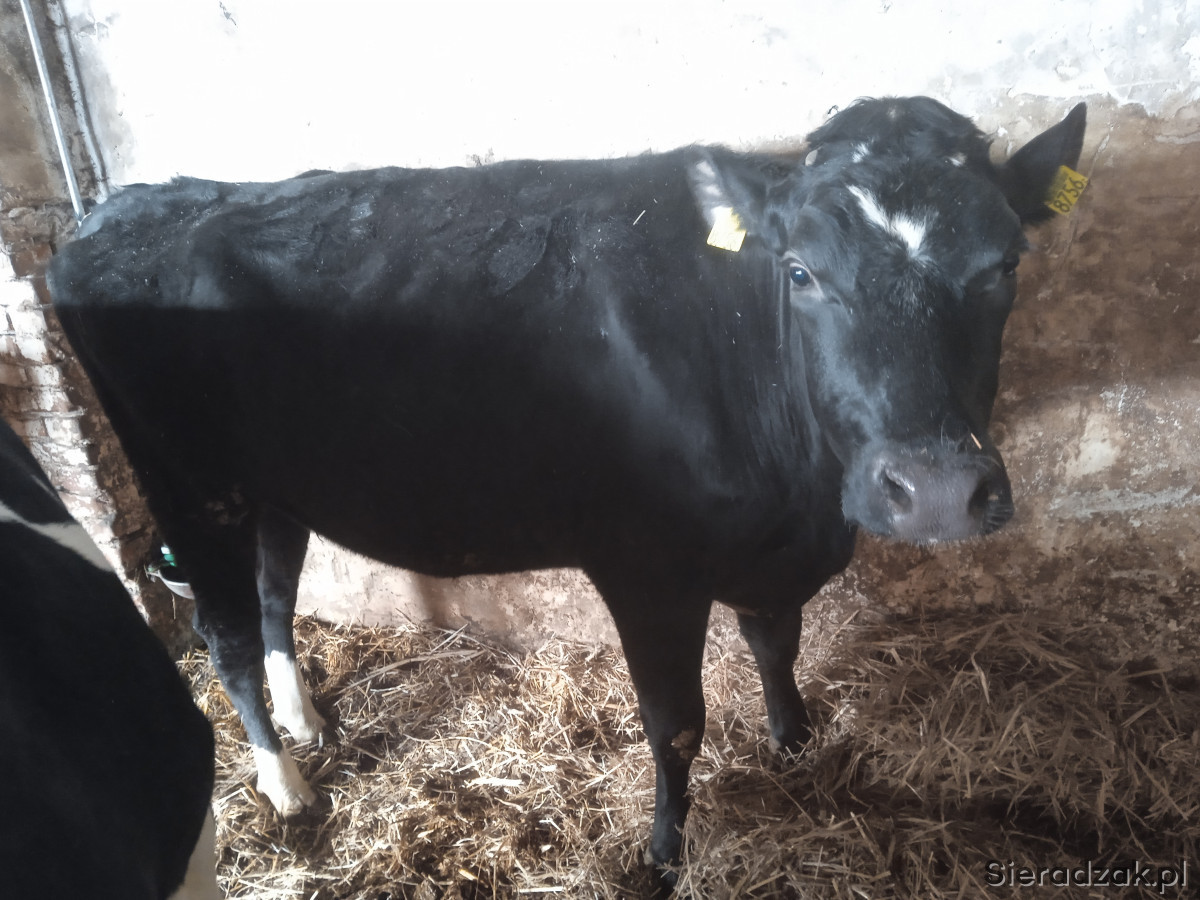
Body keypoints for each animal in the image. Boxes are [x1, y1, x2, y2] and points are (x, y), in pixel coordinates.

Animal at [47, 96, 1086, 882]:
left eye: (1005, 264)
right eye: (800, 271)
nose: (939, 489)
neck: (799, 497)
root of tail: (118, 208)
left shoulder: (769, 552)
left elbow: (775, 644)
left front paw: (795, 744)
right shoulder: (646, 569)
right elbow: (677, 727)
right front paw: (662, 857)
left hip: (271, 485)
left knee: (272, 593)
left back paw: (308, 721)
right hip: (192, 485)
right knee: (221, 632)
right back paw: (287, 786)